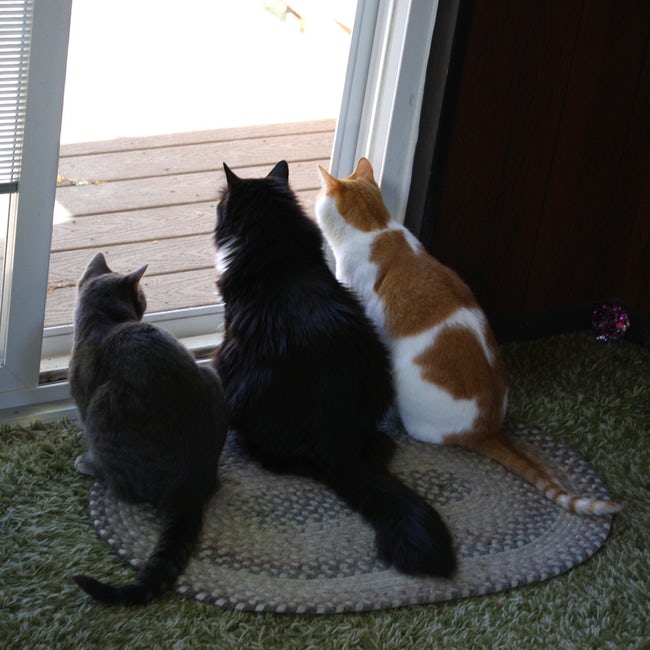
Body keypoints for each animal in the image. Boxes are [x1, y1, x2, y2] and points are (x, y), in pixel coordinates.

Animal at [69, 252, 227, 604]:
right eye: (141, 298)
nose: (144, 304)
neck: (101, 321)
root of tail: (187, 487)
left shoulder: (84, 401)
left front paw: (84, 460)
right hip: (211, 376)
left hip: (105, 404)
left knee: (120, 483)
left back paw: (92, 469)